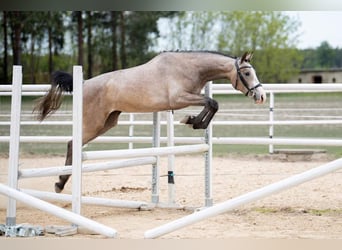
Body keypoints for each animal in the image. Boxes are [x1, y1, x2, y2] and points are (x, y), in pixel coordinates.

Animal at [33, 50, 266, 191]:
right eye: (247, 73)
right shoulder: (178, 99)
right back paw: (60, 183)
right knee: (72, 144)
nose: (261, 96)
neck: (190, 67)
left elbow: (212, 104)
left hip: (108, 122)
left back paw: (61, 182)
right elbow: (212, 102)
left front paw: (193, 121)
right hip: (93, 122)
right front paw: (192, 121)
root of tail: (83, 84)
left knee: (73, 144)